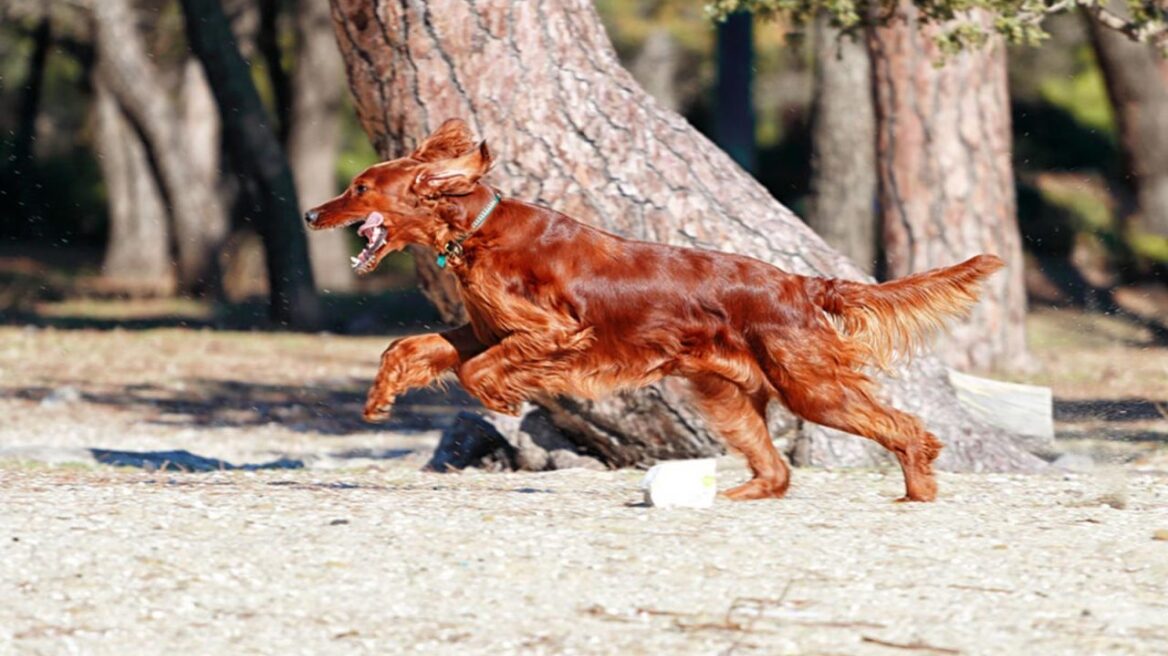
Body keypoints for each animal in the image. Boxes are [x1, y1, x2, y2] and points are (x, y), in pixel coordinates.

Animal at [308, 120, 1004, 499]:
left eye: (360, 188)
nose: (313, 213)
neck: (477, 229)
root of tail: (799, 284)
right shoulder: (484, 330)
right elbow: (412, 348)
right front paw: (379, 398)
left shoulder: (551, 330)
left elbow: (479, 373)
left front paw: (502, 399)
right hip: (728, 397)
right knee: (777, 470)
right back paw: (740, 494)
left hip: (811, 386)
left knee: (907, 430)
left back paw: (916, 492)